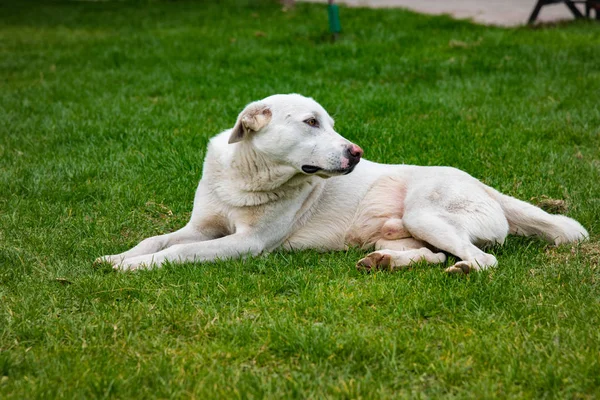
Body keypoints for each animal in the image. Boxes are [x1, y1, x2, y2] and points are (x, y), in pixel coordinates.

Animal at [97, 94, 584, 274]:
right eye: (312, 123)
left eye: (330, 123)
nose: (357, 152)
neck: (249, 176)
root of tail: (484, 185)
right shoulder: (201, 227)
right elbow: (157, 239)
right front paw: (117, 256)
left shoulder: (246, 243)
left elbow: (177, 253)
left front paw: (135, 268)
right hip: (407, 230)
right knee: (432, 254)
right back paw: (383, 262)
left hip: (425, 212)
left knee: (483, 259)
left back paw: (461, 269)